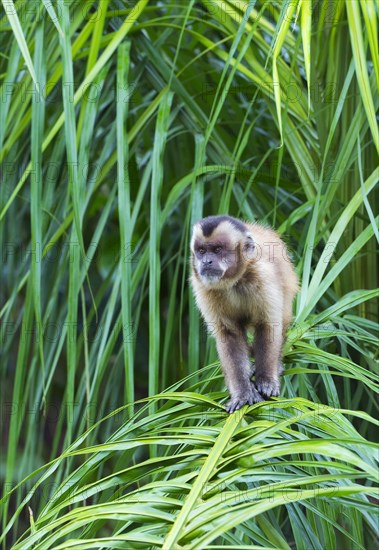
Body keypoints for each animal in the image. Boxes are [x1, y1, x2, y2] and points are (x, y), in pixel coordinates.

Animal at [190, 216, 300, 414]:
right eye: (202, 251)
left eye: (217, 250)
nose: (206, 261)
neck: (234, 282)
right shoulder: (203, 287)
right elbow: (229, 334)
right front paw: (242, 393)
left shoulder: (263, 275)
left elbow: (268, 326)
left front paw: (266, 381)